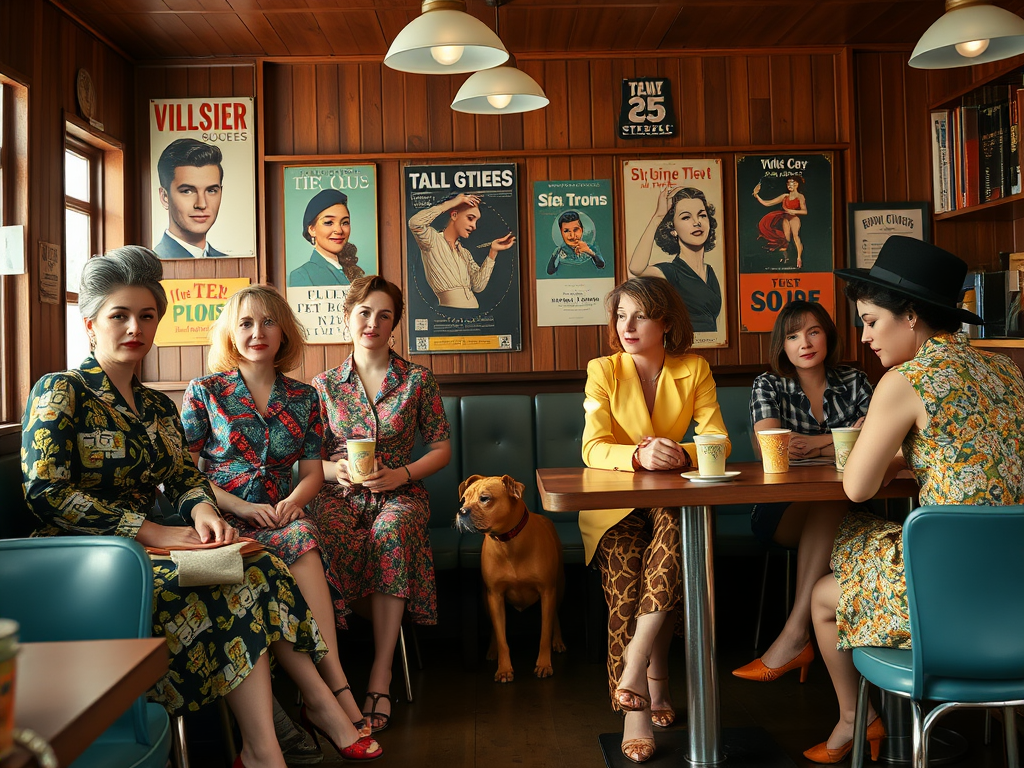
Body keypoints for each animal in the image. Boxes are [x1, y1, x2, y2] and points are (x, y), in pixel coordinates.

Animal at [458, 475, 569, 684]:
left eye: (484, 499)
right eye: (464, 499)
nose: (461, 511)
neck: (508, 542)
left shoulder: (547, 593)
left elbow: (544, 633)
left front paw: (544, 664)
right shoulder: (495, 596)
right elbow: (502, 637)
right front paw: (504, 669)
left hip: (559, 590)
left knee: (555, 618)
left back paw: (557, 640)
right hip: (486, 601)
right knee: (494, 629)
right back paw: (492, 649)